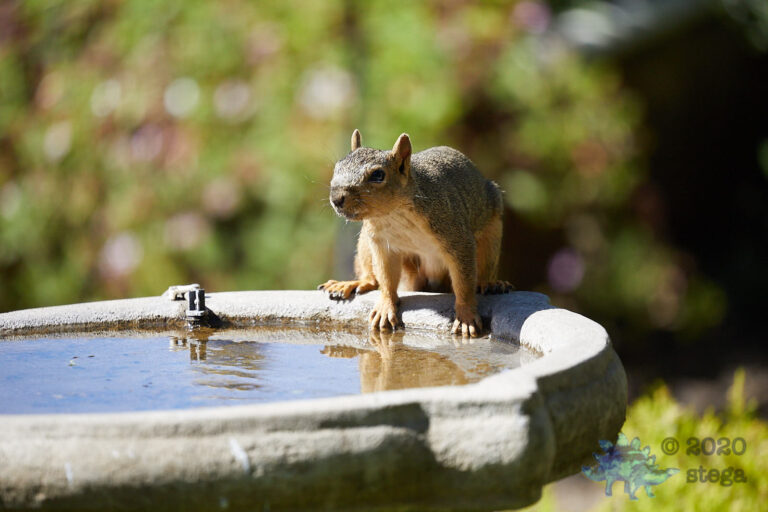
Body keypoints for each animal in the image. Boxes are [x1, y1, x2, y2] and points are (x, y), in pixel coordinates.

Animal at [318, 130, 512, 337]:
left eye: (378, 175)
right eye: (337, 166)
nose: (336, 198)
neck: (394, 214)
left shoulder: (457, 236)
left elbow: (464, 283)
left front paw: (466, 317)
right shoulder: (382, 245)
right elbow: (386, 278)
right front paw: (386, 307)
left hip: (492, 230)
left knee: (483, 268)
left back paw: (490, 284)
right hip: (366, 243)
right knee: (372, 277)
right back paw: (354, 283)